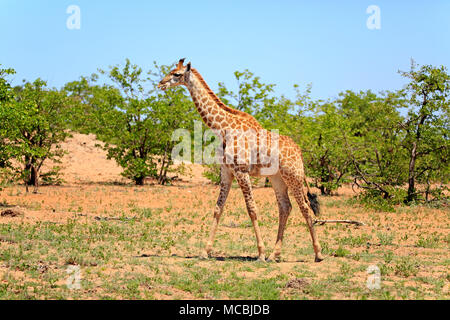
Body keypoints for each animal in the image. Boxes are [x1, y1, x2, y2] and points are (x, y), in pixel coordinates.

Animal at [159, 58, 324, 262]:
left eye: (176, 74)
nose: (161, 84)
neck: (222, 128)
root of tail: (299, 151)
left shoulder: (241, 171)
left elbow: (252, 209)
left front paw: (260, 253)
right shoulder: (226, 171)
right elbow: (218, 208)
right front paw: (205, 252)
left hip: (294, 177)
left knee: (306, 208)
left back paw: (317, 254)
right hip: (277, 178)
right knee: (286, 207)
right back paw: (275, 254)